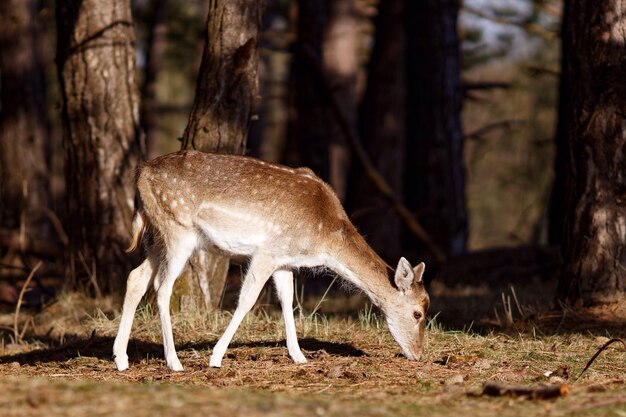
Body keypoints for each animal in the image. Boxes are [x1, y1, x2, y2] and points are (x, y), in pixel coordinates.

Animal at [112, 150, 428, 370]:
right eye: (417, 313)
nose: (418, 353)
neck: (324, 238)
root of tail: (141, 173)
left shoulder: (285, 260)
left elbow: (288, 300)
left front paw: (299, 356)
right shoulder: (267, 251)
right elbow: (246, 300)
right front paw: (215, 357)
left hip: (157, 236)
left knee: (136, 277)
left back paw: (121, 358)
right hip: (178, 229)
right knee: (162, 288)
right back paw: (174, 362)